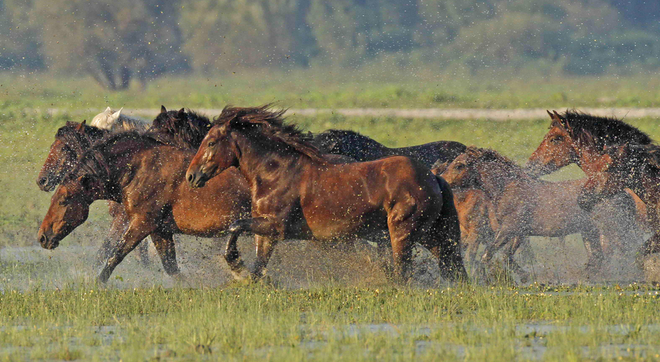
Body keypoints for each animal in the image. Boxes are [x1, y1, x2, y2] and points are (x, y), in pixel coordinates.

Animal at [438, 146, 604, 282]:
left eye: (459, 165)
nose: (442, 180)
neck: (507, 189)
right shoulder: (518, 233)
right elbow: (506, 256)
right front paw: (524, 276)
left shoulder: (508, 229)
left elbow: (487, 254)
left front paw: (484, 278)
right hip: (589, 231)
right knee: (596, 257)